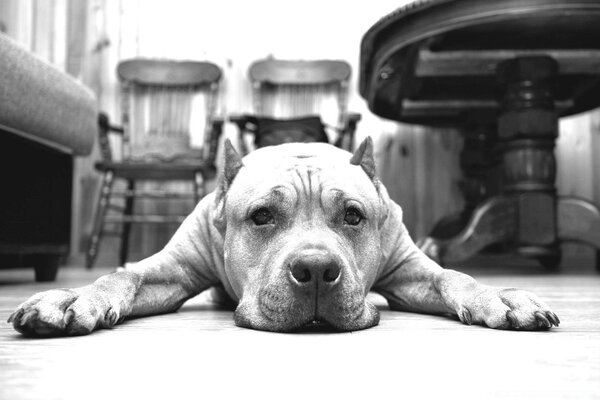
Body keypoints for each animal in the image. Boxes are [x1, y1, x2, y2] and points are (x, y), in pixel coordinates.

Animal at [7, 138, 560, 334]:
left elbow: (453, 277)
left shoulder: (412, 269)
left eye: (354, 216)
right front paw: (74, 297)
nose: (315, 270)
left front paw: (500, 297)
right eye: (261, 217)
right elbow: (120, 277)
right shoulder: (170, 270)